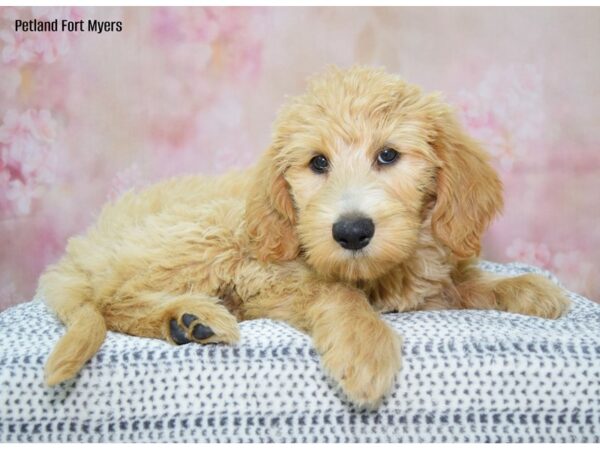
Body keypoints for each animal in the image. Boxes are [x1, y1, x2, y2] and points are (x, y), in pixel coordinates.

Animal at [38, 67, 572, 408]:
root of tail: (82, 248)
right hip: (210, 230)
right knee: (112, 300)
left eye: (388, 155)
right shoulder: (264, 277)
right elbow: (335, 291)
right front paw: (363, 345)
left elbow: (464, 282)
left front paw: (527, 288)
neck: (380, 275)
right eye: (317, 163)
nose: (351, 231)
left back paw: (188, 320)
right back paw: (188, 317)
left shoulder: (432, 278)